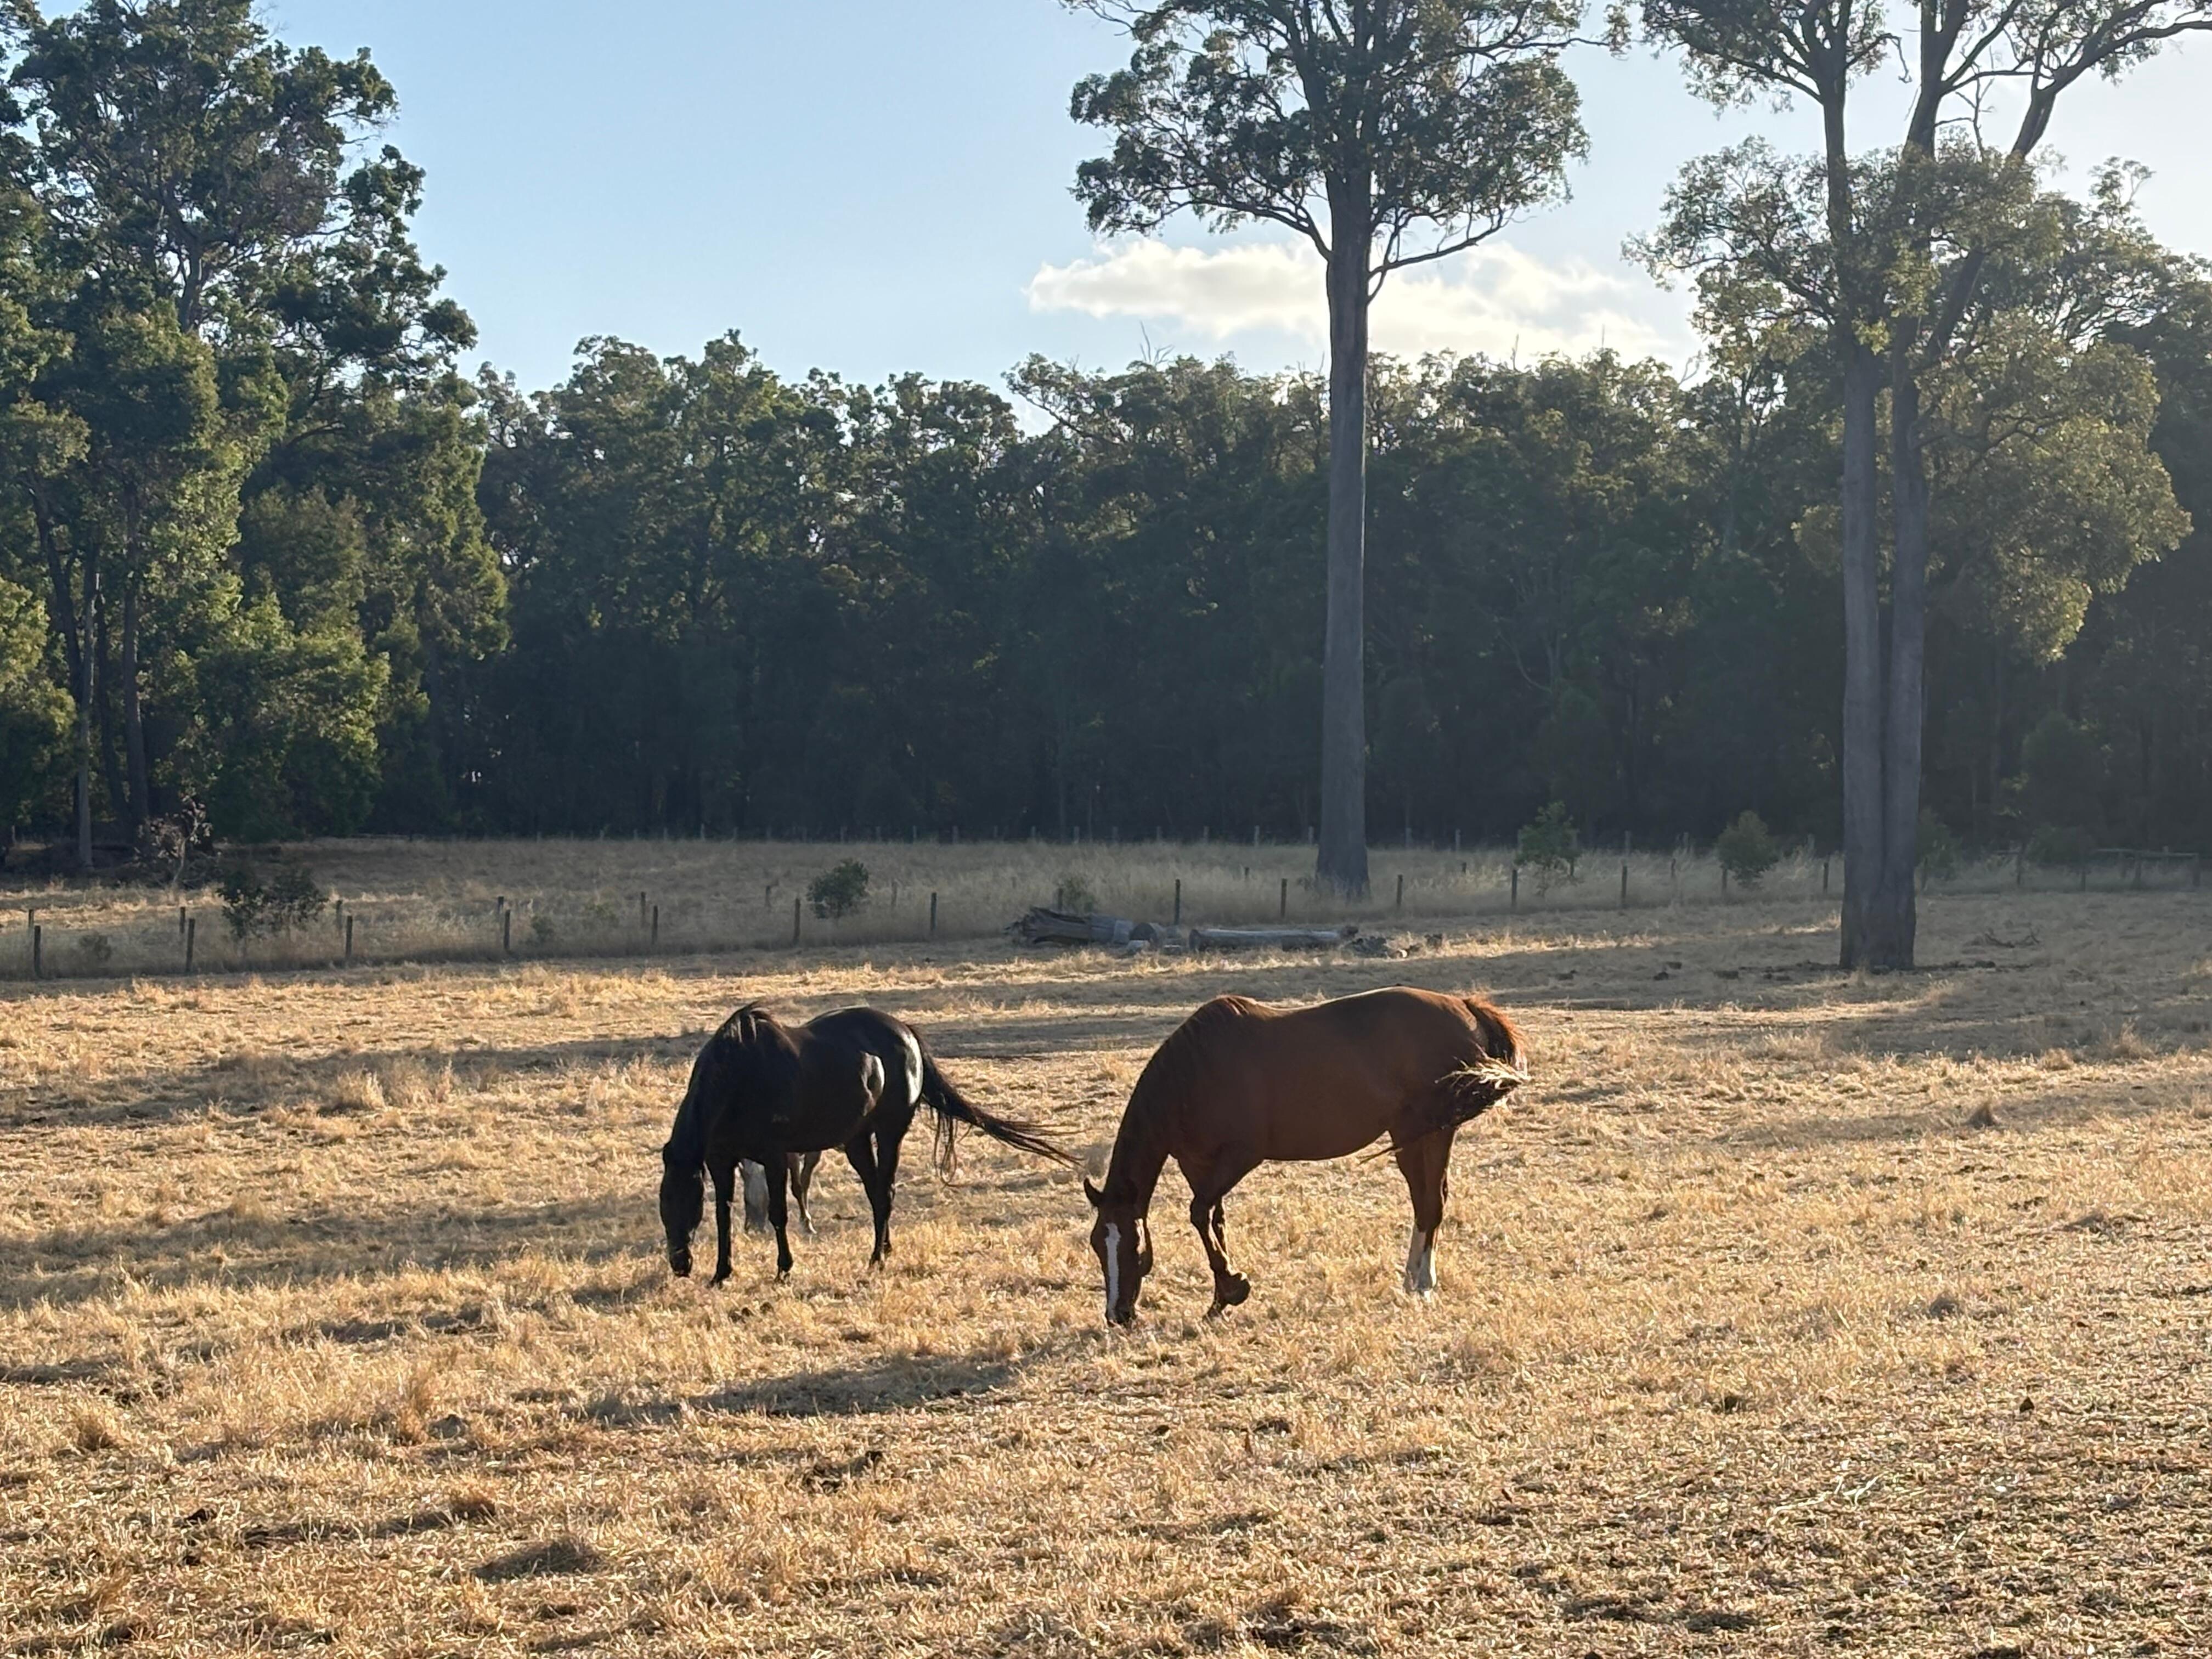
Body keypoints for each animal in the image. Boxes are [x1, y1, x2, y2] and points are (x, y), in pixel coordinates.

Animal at [660, 1004, 1079, 1283]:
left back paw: (877, 1258)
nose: (680, 1264)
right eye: (665, 1203)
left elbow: (779, 1213)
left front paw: (784, 1269)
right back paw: (884, 1250)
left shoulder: (775, 1156)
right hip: (857, 1140)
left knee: (886, 1191)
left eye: (685, 1201)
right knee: (877, 1192)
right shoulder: (721, 1160)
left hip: (890, 1132)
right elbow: (723, 1215)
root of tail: (905, 1032)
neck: (738, 1079)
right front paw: (722, 1273)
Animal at [1082, 987, 1528, 1325]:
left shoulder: (1239, 1158)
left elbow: (1198, 1214)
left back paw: (1423, 1284)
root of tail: (1465, 1006)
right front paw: (1221, 1297)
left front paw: (1234, 1287)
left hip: (1430, 1133)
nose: (1117, 1315)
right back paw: (1412, 1280)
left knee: (1430, 1203)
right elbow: (1213, 1221)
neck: (1194, 1074)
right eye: (1096, 1244)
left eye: (1132, 1243)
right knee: (1426, 1202)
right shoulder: (1200, 1166)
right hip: (1413, 1137)